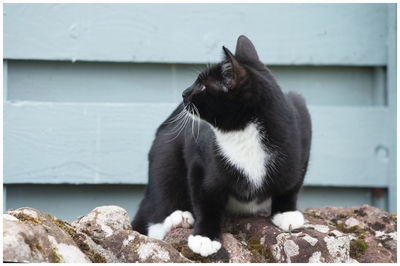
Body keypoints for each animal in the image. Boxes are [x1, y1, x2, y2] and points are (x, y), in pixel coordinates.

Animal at [132, 36, 312, 256]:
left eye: (202, 87)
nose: (183, 93)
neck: (242, 134)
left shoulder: (301, 124)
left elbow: (292, 184)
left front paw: (286, 213)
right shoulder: (199, 152)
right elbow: (206, 197)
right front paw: (205, 237)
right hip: (164, 151)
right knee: (158, 197)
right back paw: (177, 218)